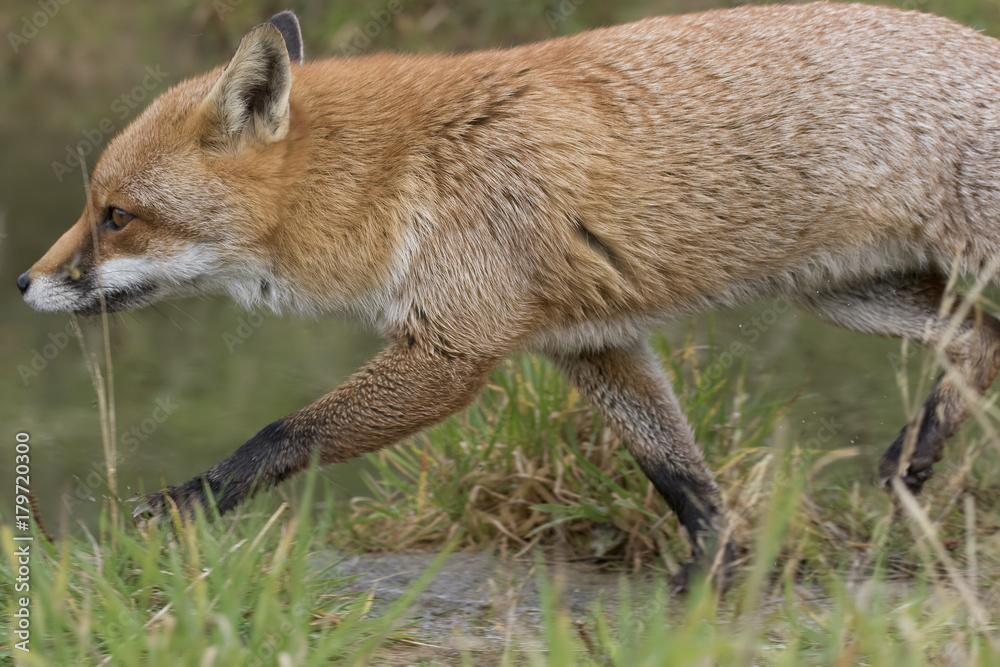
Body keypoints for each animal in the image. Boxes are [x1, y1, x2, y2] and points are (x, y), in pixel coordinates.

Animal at [18, 1, 1000, 584]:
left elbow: (281, 433)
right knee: (979, 343)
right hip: (849, 293)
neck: (402, 176)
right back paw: (914, 455)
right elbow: (679, 473)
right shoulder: (591, 341)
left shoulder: (457, 347)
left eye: (117, 216)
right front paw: (714, 575)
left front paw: (186, 502)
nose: (25, 281)